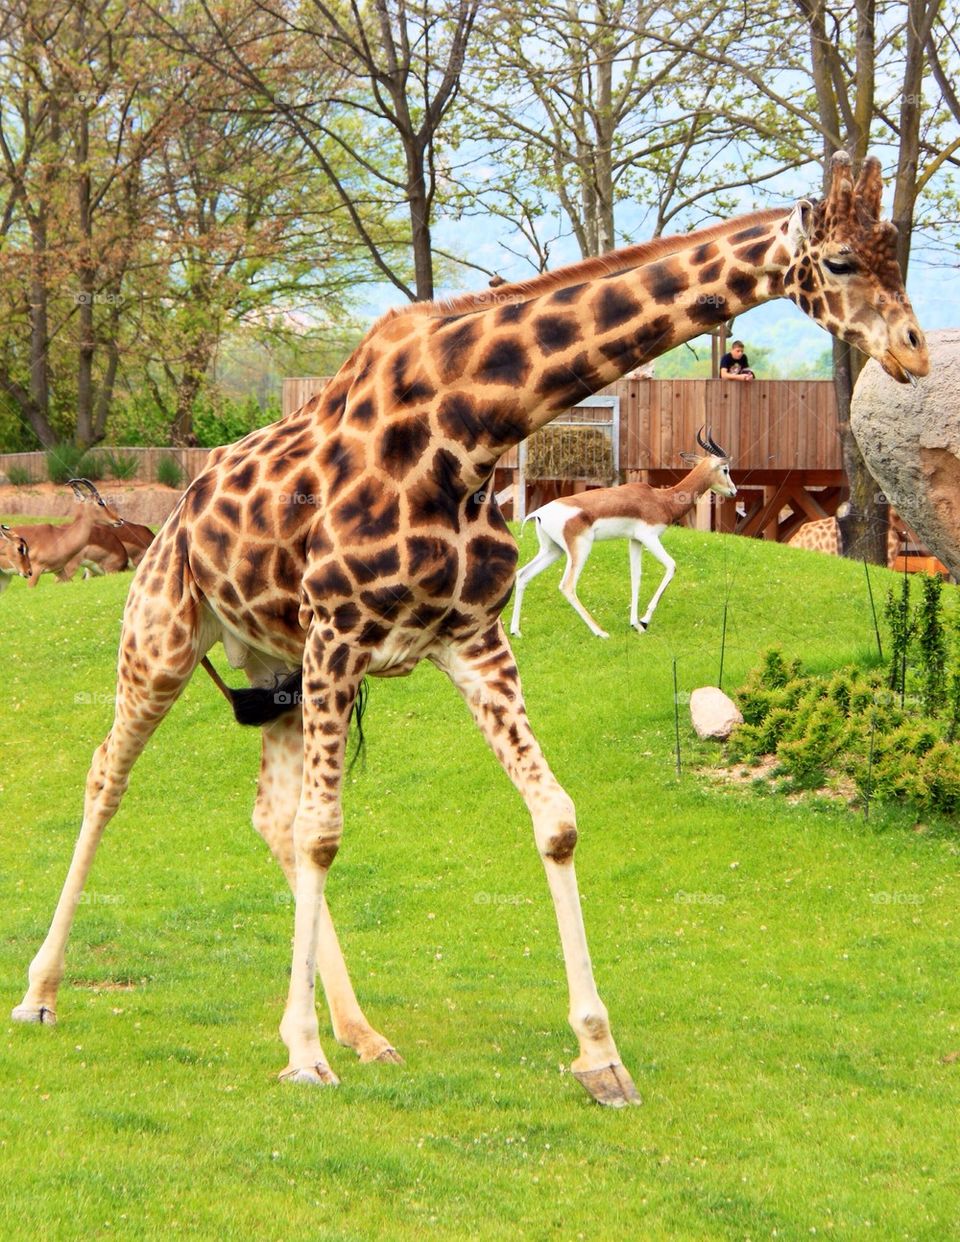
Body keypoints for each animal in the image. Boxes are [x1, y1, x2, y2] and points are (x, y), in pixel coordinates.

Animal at [12, 152, 928, 1108]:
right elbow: (324, 833)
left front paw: (599, 1055)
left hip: (272, 665)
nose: (914, 349)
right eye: (840, 261)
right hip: (164, 639)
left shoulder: (470, 640)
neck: (470, 434)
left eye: (897, 249)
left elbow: (553, 818)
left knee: (269, 814)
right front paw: (301, 1053)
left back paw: (363, 1032)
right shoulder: (340, 634)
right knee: (109, 778)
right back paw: (43, 993)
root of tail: (175, 513)